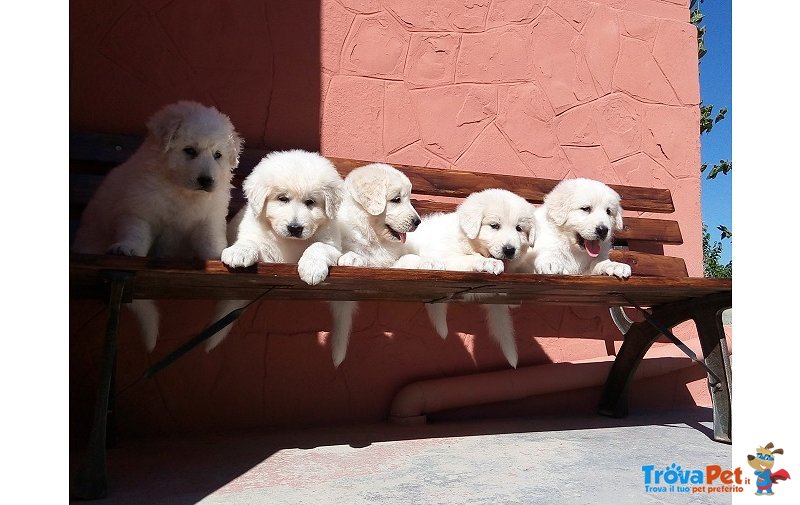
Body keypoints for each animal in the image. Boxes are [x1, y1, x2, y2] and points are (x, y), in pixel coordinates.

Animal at [74, 100, 244, 348]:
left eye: (218, 155)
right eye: (189, 150)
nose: (207, 181)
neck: (181, 191)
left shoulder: (208, 218)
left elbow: (211, 239)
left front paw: (219, 255)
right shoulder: (139, 211)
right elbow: (136, 233)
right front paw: (127, 248)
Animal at [203, 150, 344, 350]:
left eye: (310, 202)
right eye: (282, 198)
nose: (295, 228)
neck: (289, 241)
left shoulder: (332, 244)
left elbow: (317, 246)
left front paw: (312, 269)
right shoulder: (262, 245)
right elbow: (250, 242)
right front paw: (239, 252)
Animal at [396, 188, 536, 366]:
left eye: (519, 228)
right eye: (494, 226)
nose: (510, 250)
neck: (467, 241)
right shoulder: (447, 257)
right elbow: (468, 259)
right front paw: (488, 263)